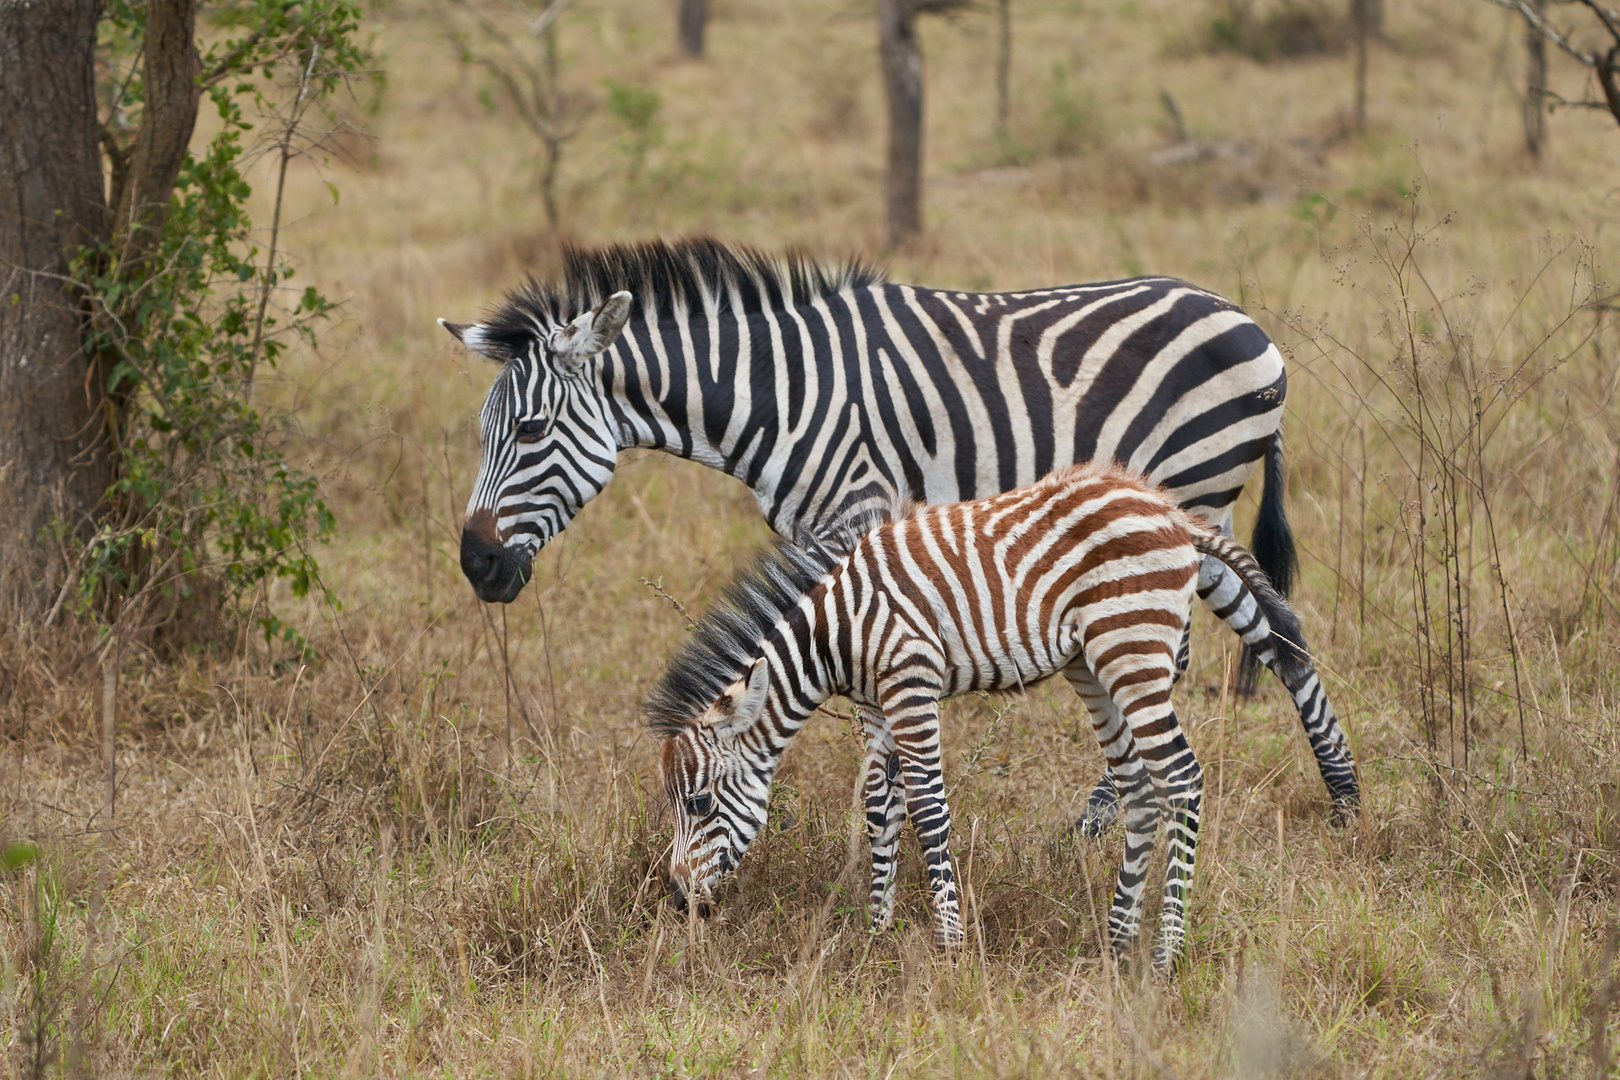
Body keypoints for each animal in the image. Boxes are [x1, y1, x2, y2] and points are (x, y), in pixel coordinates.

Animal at [440, 238, 1354, 829]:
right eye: (480, 433)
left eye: (528, 431)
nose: (477, 565)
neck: (780, 392)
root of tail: (1245, 320)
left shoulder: (859, 512)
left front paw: (877, 824)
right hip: (1201, 508)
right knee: (1274, 623)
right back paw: (1338, 797)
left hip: (1192, 488)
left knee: (1202, 642)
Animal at [644, 459, 1315, 971]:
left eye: (698, 802)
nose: (679, 899)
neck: (837, 636)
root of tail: (1172, 512)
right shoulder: (877, 704)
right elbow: (880, 811)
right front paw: (876, 932)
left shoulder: (911, 684)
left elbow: (928, 809)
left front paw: (950, 945)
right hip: (1092, 664)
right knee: (1140, 786)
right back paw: (1117, 940)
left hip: (1133, 648)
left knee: (1180, 777)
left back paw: (1166, 953)